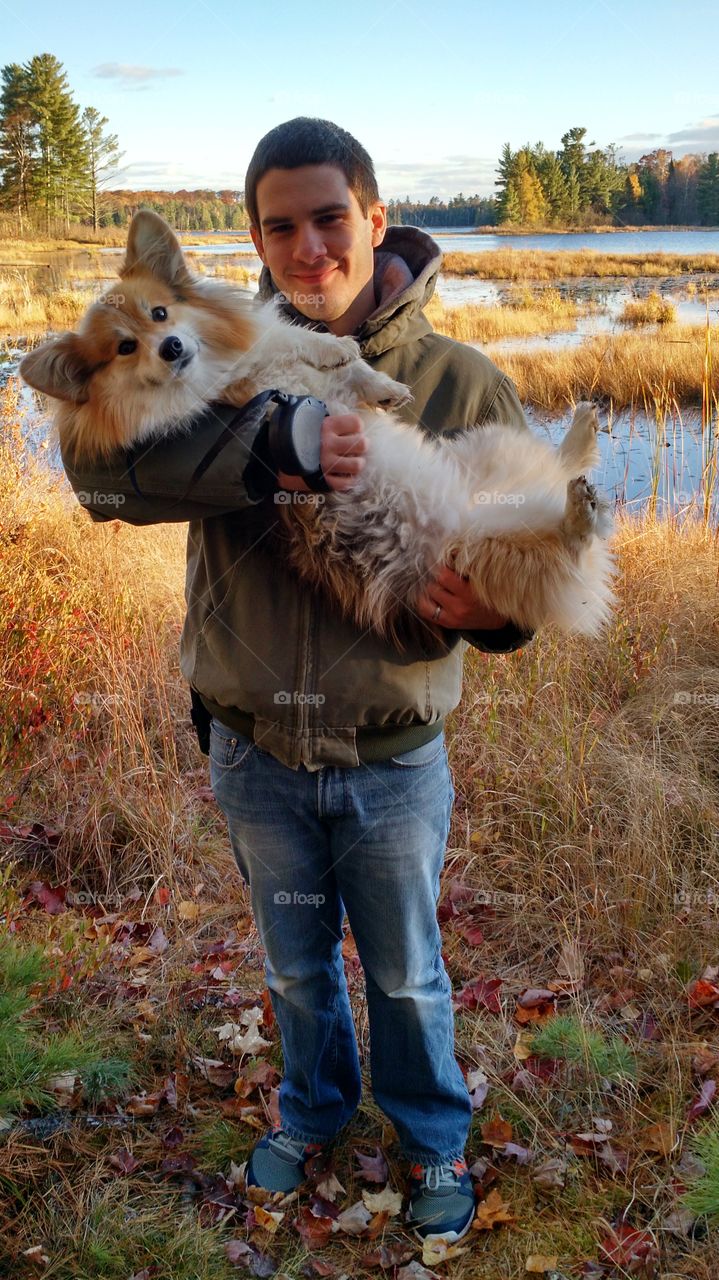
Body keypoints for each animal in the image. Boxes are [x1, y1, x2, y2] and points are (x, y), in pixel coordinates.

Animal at [20, 213, 616, 650]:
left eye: (161, 313)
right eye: (124, 347)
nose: (170, 349)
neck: (224, 364)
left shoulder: (286, 352)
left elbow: (325, 355)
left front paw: (366, 371)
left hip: (491, 447)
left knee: (562, 466)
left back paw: (582, 435)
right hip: (488, 553)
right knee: (570, 545)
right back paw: (580, 508)